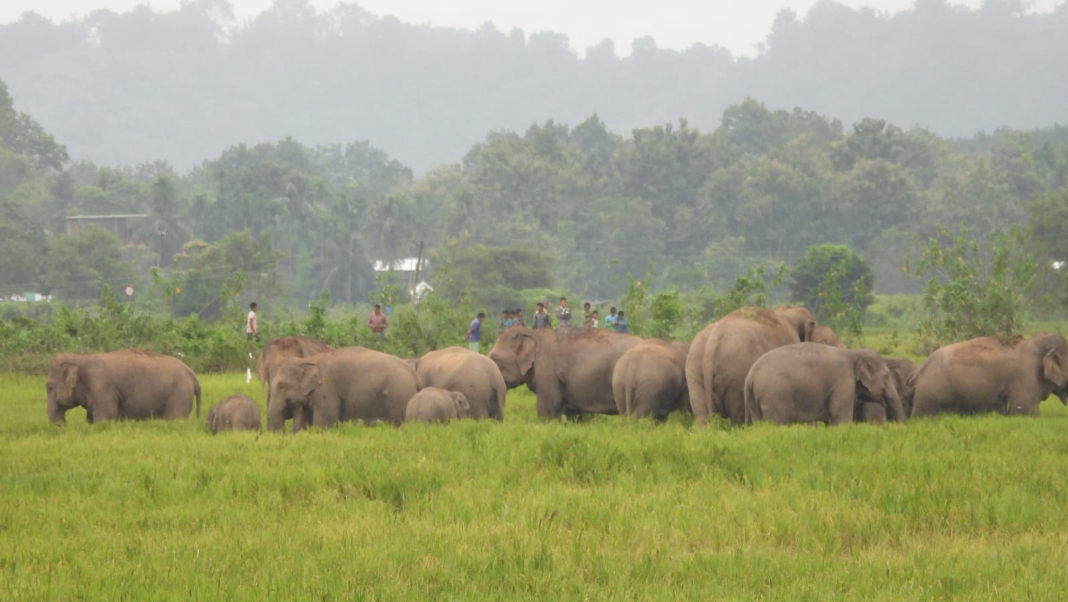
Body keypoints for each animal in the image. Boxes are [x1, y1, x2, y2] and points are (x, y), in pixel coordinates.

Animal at [46, 349, 201, 424]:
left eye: (49, 387)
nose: (62, 426)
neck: (81, 359)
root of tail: (190, 371)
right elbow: (91, 419)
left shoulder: (102, 388)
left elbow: (105, 418)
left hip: (180, 394)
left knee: (175, 420)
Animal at [267, 346, 419, 432]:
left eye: (281, 385)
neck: (309, 360)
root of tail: (412, 373)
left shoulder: (325, 390)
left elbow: (325, 422)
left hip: (399, 396)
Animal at [686, 306, 816, 424]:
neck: (786, 311)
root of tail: (712, 341)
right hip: (735, 375)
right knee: (737, 415)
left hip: (694, 368)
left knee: (701, 413)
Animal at [744, 343, 907, 425]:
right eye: (886, 375)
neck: (854, 353)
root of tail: (751, 375)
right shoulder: (843, 381)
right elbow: (840, 416)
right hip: (774, 396)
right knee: (777, 423)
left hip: (755, 399)